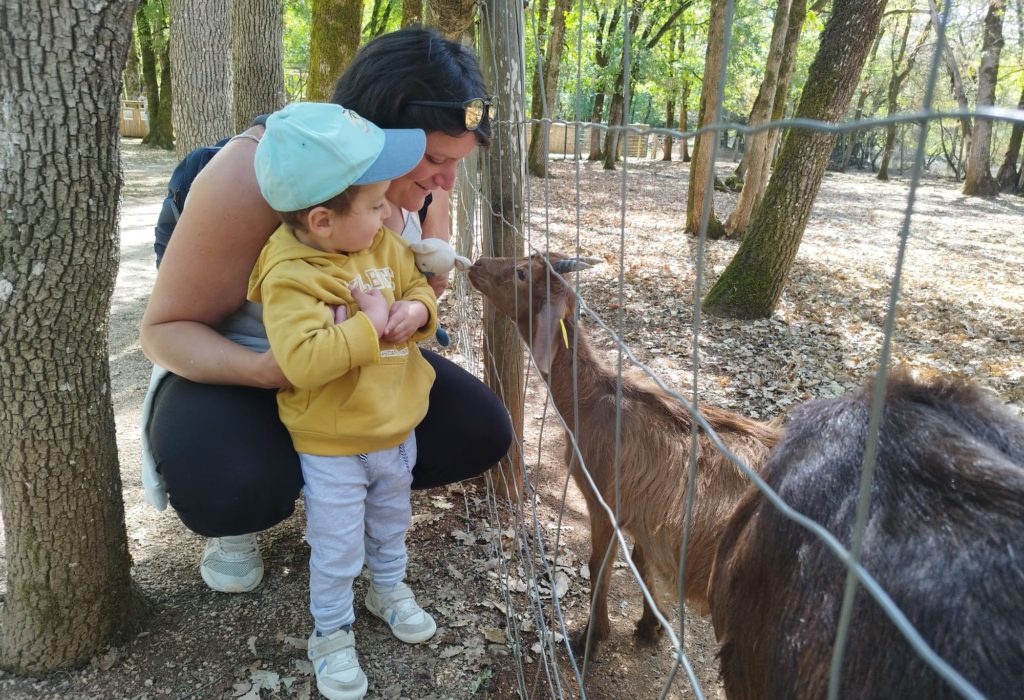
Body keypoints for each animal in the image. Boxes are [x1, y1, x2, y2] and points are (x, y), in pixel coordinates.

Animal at [468, 252, 778, 654]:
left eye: (521, 273)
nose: (476, 263)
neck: (587, 403)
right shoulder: (642, 513)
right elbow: (642, 563)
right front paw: (651, 626)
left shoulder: (604, 500)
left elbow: (598, 563)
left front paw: (592, 636)